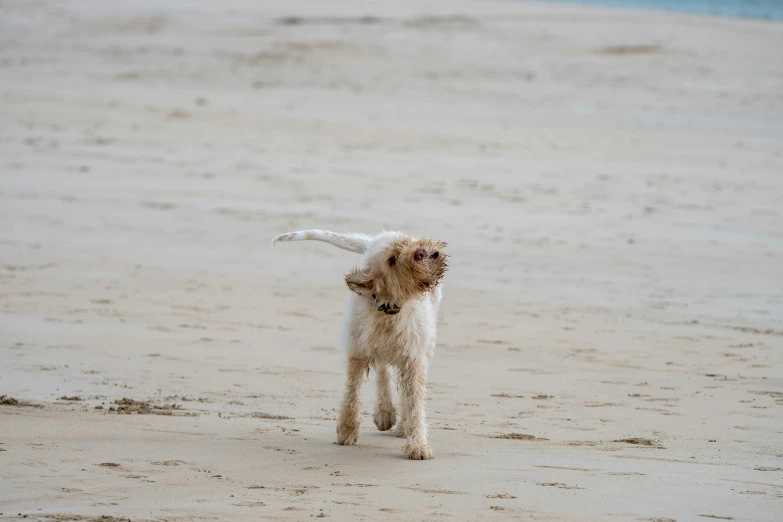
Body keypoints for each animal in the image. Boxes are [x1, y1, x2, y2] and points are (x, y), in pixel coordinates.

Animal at [274, 230, 448, 458]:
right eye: (392, 260)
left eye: (408, 241)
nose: (425, 252)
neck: (388, 309)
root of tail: (373, 241)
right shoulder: (357, 352)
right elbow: (352, 393)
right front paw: (346, 430)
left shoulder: (414, 359)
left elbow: (414, 404)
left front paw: (417, 445)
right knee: (383, 371)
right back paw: (384, 413)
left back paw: (399, 424)